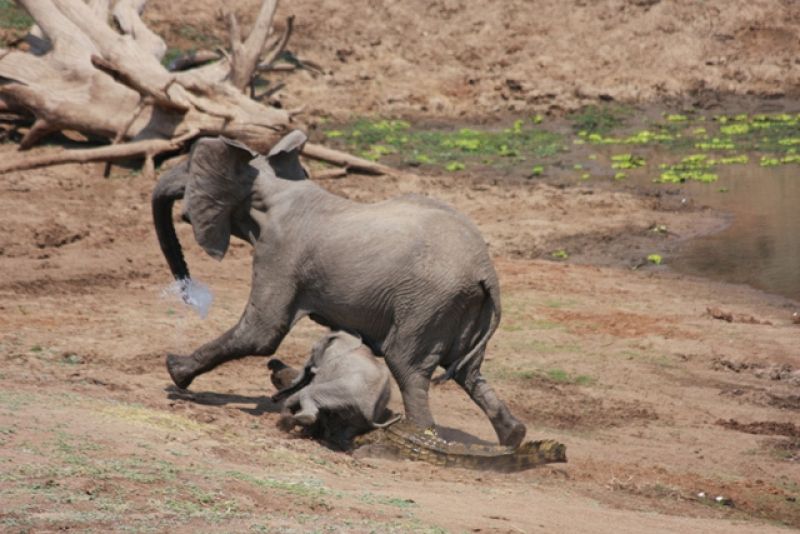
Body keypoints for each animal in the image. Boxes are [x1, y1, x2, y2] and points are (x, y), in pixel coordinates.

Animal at [270, 332, 398, 450]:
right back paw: (336, 446)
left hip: (344, 392)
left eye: (313, 351)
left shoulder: (328, 367)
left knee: (310, 392)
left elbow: (308, 387)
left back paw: (303, 423)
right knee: (349, 429)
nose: (273, 398)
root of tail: (369, 412)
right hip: (366, 414)